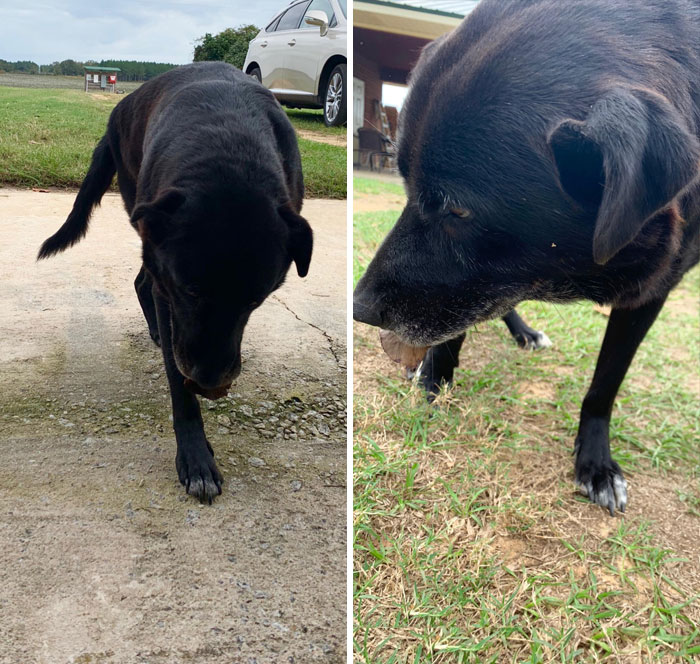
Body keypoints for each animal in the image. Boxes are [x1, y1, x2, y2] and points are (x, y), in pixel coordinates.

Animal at [38, 63, 312, 504]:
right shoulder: (172, 294)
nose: (210, 383)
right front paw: (196, 457)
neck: (228, 150)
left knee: (142, 281)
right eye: (191, 291)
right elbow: (176, 381)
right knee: (145, 283)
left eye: (257, 300)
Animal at [356, 0, 700, 512]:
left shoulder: (655, 287)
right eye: (406, 183)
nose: (357, 308)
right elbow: (454, 324)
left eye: (458, 208)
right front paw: (435, 376)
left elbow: (606, 383)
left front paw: (595, 462)